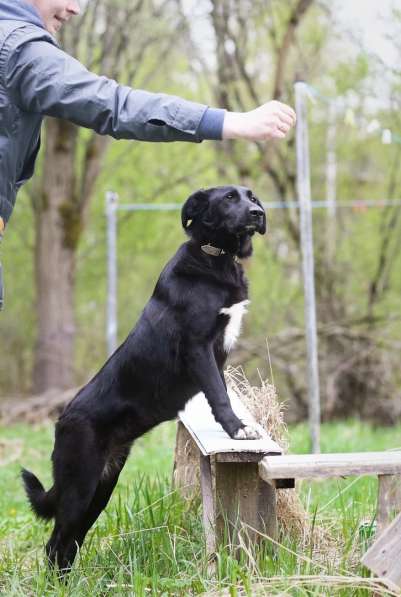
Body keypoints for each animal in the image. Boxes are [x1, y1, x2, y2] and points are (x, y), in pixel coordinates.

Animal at [21, 185, 266, 568]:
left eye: (251, 197)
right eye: (229, 198)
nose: (258, 213)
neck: (216, 257)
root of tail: (62, 420)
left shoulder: (217, 353)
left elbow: (220, 391)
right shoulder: (199, 347)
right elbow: (218, 393)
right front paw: (237, 429)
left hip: (102, 486)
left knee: (68, 543)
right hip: (80, 484)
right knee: (56, 543)